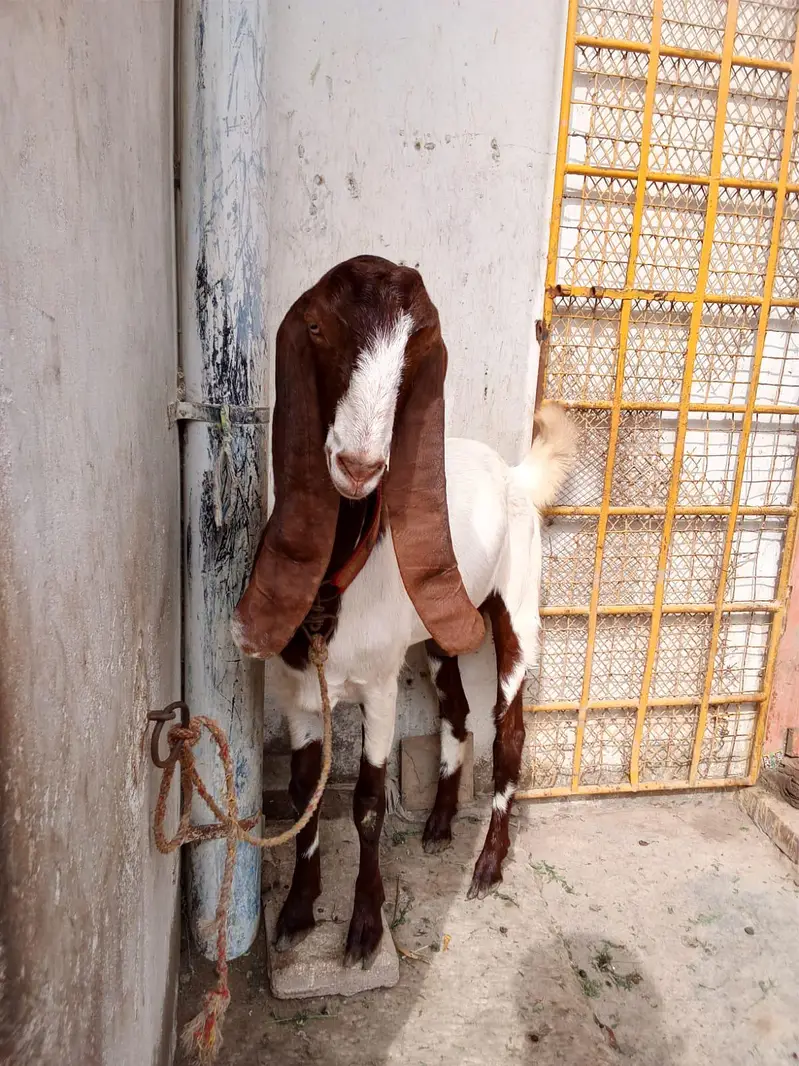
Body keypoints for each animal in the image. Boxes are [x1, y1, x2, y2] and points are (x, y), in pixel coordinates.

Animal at [232, 255, 576, 968]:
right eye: (316, 327)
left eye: (415, 354)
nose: (359, 465)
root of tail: (513, 475)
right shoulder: (297, 693)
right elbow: (303, 794)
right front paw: (298, 910)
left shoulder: (381, 687)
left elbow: (367, 804)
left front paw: (365, 926)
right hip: (444, 633)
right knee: (458, 713)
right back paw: (441, 823)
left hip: (516, 611)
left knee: (507, 728)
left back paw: (488, 864)